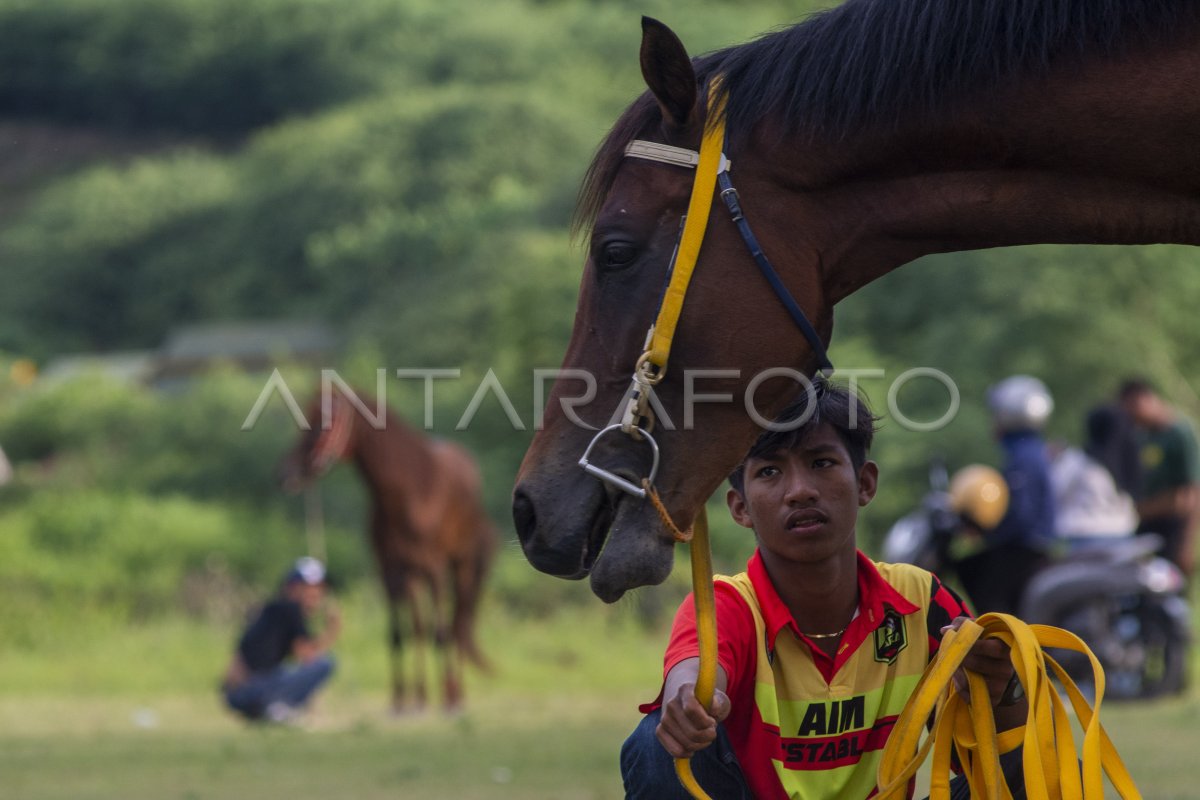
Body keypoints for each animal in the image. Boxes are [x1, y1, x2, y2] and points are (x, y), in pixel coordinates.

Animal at [282, 391, 496, 710]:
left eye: (324, 421)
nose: (289, 472)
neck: (408, 495)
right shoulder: (389, 570)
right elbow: (398, 634)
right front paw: (401, 700)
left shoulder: (434, 568)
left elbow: (441, 633)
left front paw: (448, 697)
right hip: (413, 577)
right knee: (420, 628)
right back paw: (422, 694)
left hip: (461, 566)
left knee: (456, 623)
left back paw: (455, 693)